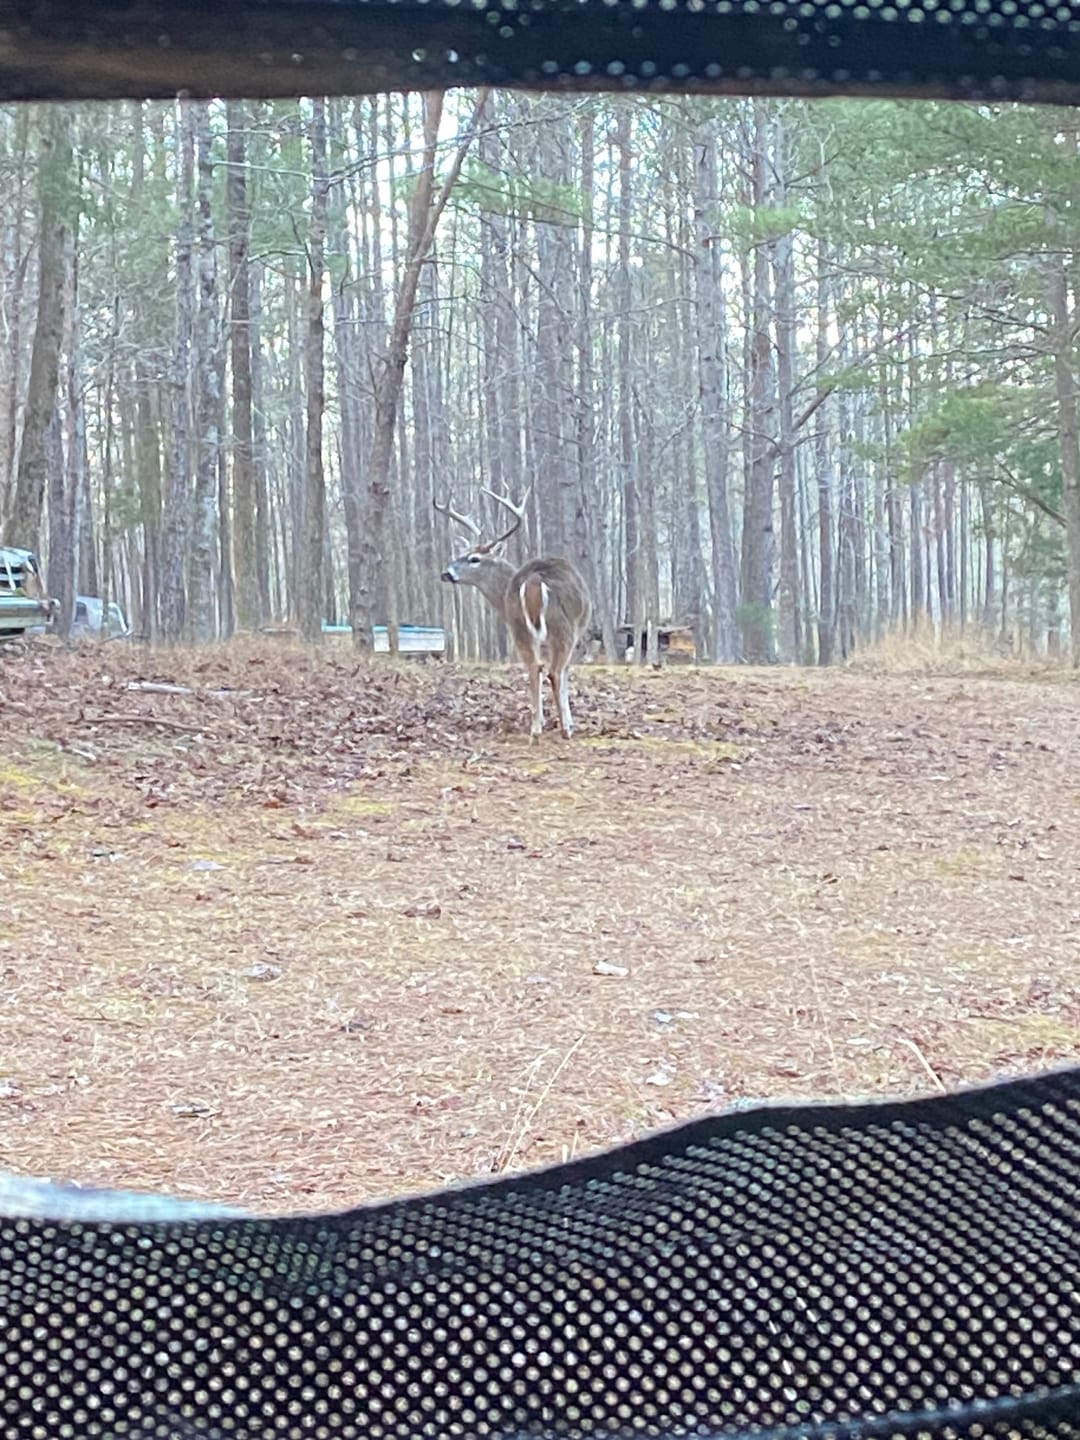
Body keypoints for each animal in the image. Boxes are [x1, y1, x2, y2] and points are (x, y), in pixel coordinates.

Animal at [435, 486, 592, 744]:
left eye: (473, 558)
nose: (445, 573)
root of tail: (534, 578)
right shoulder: (577, 631)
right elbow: (567, 673)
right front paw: (568, 722)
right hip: (562, 626)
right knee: (554, 671)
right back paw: (563, 730)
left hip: (518, 626)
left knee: (535, 667)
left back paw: (536, 730)